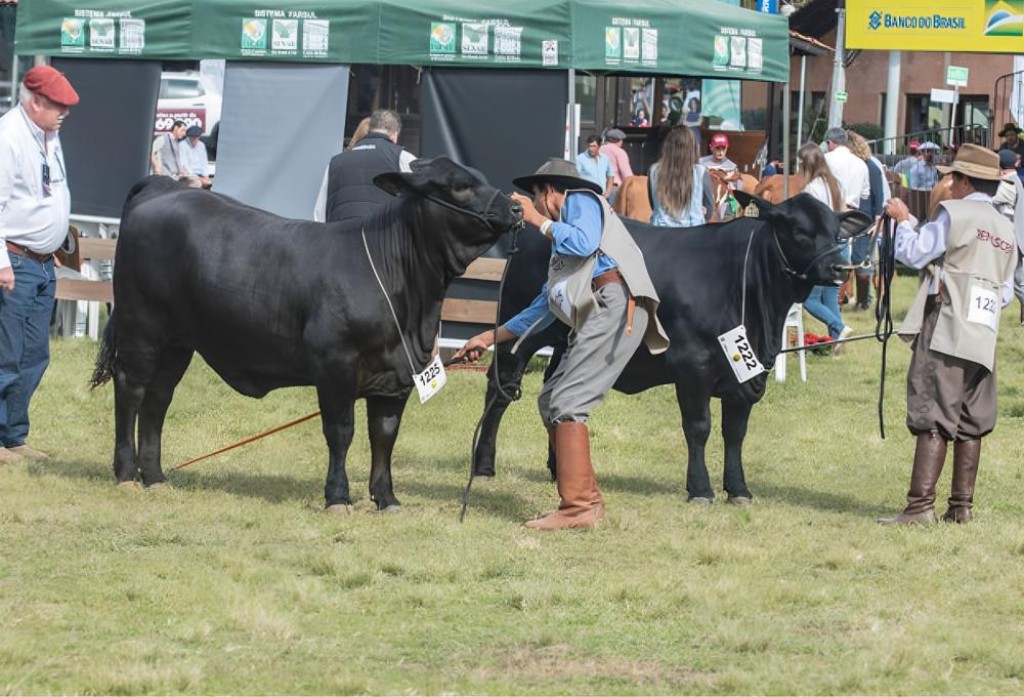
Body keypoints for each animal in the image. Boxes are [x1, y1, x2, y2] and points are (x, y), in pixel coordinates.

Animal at [92, 156, 524, 511]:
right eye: (460, 185)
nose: (517, 208)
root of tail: (165, 187)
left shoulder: (397, 374)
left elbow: (384, 435)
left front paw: (386, 498)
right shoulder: (335, 366)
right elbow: (341, 432)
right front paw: (338, 497)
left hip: (178, 342)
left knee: (158, 398)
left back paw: (156, 476)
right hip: (142, 326)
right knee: (131, 389)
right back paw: (127, 474)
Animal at [468, 193, 864, 503]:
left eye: (836, 233)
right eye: (799, 232)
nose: (840, 268)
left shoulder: (748, 375)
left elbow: (735, 432)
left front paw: (738, 489)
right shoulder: (693, 367)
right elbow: (699, 427)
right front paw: (700, 489)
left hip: (567, 345)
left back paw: (557, 469)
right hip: (518, 336)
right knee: (501, 392)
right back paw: (484, 466)